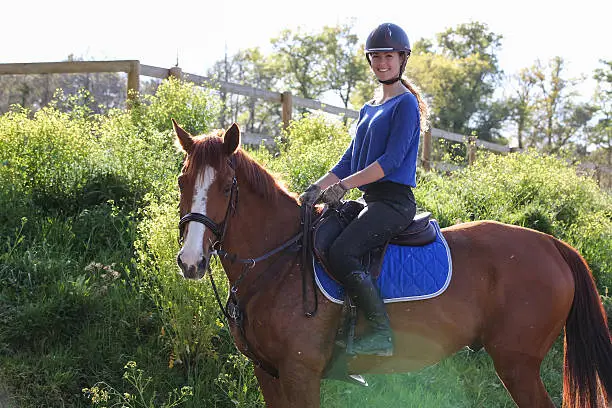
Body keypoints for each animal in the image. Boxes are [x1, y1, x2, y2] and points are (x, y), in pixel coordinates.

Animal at [172, 121, 612, 408]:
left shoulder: (300, 373)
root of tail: (553, 244)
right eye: (182, 181)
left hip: (517, 364)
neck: (278, 261)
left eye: (226, 187)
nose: (191, 261)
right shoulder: (270, 374)